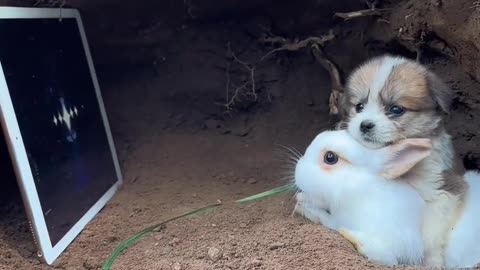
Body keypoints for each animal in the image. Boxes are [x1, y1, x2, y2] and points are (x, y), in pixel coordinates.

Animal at [292, 130, 432, 266]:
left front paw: (303, 206)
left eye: (330, 157)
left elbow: (328, 220)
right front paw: (301, 198)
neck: (358, 185)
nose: (298, 166)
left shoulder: (342, 218)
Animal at [338, 53, 464, 266]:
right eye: (359, 106)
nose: (364, 125)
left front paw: (431, 262)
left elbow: (430, 238)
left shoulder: (441, 193)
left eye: (396, 109)